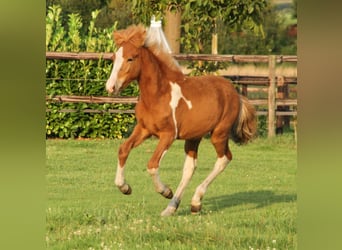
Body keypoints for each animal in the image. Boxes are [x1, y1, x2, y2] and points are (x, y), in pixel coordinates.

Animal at [105, 25, 255, 217]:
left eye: (130, 58)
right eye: (114, 58)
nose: (110, 87)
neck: (158, 95)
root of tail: (234, 92)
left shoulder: (168, 135)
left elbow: (152, 164)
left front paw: (165, 191)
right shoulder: (144, 129)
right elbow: (123, 150)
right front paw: (125, 187)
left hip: (219, 134)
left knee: (224, 159)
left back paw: (195, 201)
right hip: (193, 137)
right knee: (190, 168)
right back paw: (172, 208)